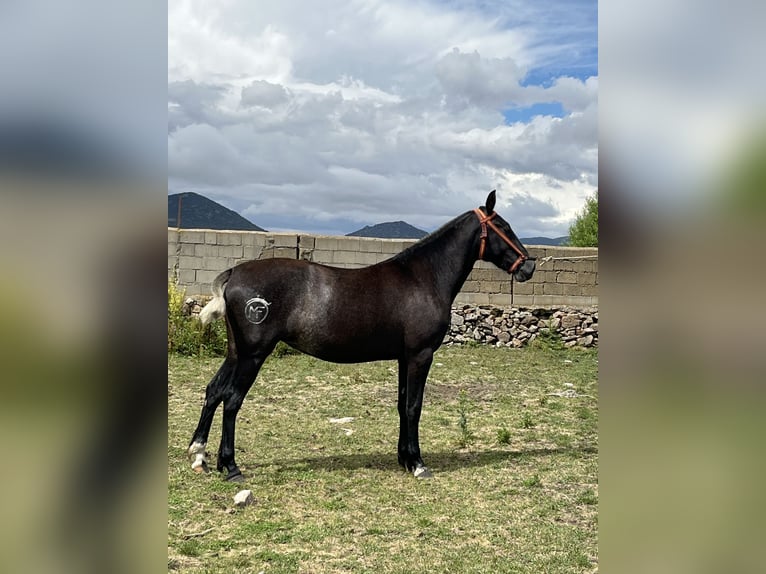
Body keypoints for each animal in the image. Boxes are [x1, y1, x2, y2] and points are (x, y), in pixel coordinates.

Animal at [189, 191, 536, 484]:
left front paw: (404, 459)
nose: (529, 266)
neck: (423, 278)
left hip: (237, 352)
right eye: (503, 227)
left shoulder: (404, 357)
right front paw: (418, 464)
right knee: (232, 399)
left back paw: (201, 456)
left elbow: (401, 404)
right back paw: (231, 467)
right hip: (253, 355)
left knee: (214, 391)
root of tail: (234, 273)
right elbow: (414, 406)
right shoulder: (421, 355)